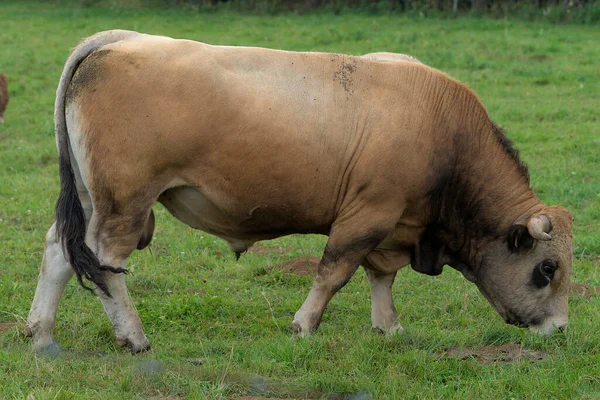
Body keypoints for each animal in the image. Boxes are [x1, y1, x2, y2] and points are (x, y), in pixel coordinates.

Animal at [27, 30, 572, 354]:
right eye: (547, 269)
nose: (561, 327)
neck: (445, 131)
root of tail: (120, 40)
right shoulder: (368, 213)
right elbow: (335, 271)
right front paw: (304, 325)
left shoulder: (392, 224)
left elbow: (381, 276)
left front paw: (388, 327)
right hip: (126, 203)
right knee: (104, 262)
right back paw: (133, 336)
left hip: (91, 198)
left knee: (59, 250)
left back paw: (40, 332)